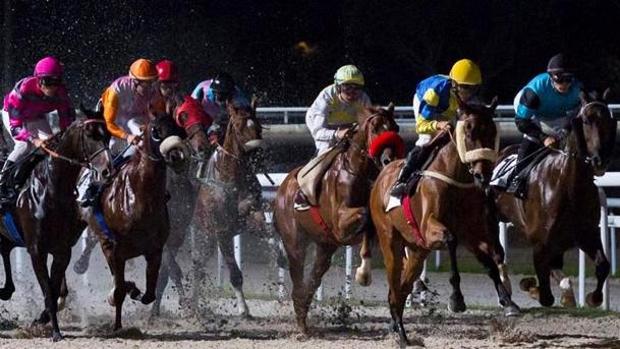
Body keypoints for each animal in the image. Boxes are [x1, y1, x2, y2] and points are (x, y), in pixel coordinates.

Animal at [0, 109, 111, 340]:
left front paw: (42, 320)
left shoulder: (62, 250)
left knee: (4, 250)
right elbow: (49, 291)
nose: (107, 170)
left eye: (107, 134)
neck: (50, 188)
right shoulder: (36, 250)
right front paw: (56, 332)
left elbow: (54, 288)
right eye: (90, 134)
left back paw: (6, 289)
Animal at [78, 111, 189, 332]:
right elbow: (119, 289)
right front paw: (117, 324)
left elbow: (149, 294)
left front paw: (134, 290)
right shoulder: (114, 249)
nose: (177, 156)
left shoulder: (155, 250)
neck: (140, 197)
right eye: (155, 130)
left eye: (179, 128)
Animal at [274, 104, 402, 334]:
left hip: (325, 247)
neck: (357, 173)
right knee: (298, 282)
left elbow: (372, 226)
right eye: (375, 128)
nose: (389, 160)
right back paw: (302, 325)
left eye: (395, 127)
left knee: (313, 279)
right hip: (294, 242)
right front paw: (363, 272)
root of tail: (282, 190)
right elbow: (365, 215)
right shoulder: (340, 225)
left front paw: (364, 271)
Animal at [370, 99, 516, 346]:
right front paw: (457, 299)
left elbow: (491, 260)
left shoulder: (473, 231)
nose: (483, 175)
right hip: (390, 241)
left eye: (492, 132)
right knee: (394, 287)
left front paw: (507, 301)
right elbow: (451, 240)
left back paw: (399, 329)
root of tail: (382, 175)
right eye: (469, 130)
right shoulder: (431, 228)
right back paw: (401, 334)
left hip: (417, 250)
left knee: (402, 288)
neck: (455, 180)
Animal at [494, 89, 616, 308]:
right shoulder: (540, 242)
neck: (569, 186)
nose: (599, 161)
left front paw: (593, 297)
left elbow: (603, 265)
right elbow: (545, 291)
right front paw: (532, 287)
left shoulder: (586, 234)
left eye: (609, 121)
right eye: (587, 120)